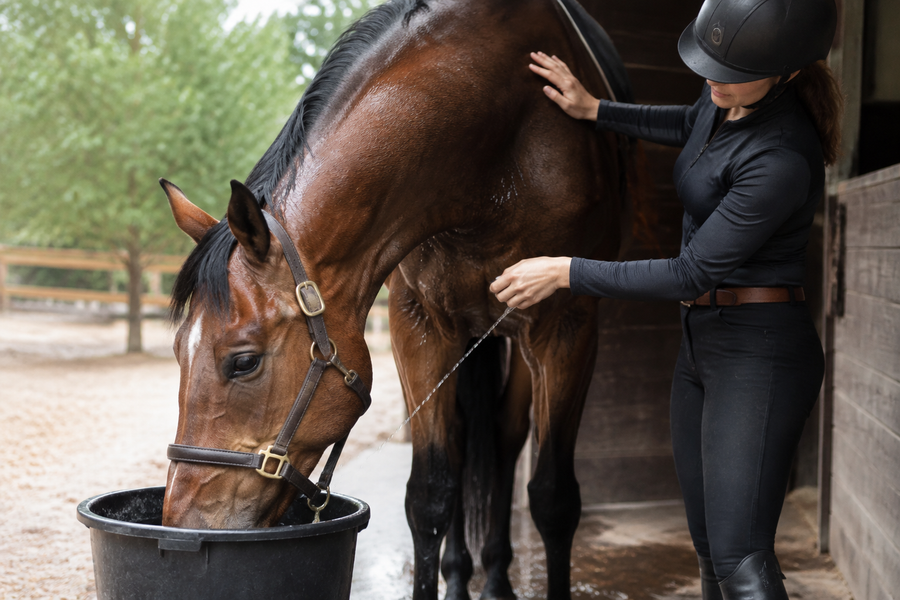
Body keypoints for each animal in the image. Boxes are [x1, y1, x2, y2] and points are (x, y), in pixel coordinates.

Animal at [158, 0, 641, 597]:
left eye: (243, 362)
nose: (181, 522)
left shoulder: (565, 328)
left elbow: (553, 499)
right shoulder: (421, 326)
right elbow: (431, 493)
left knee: (505, 441)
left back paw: (496, 577)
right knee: (465, 446)